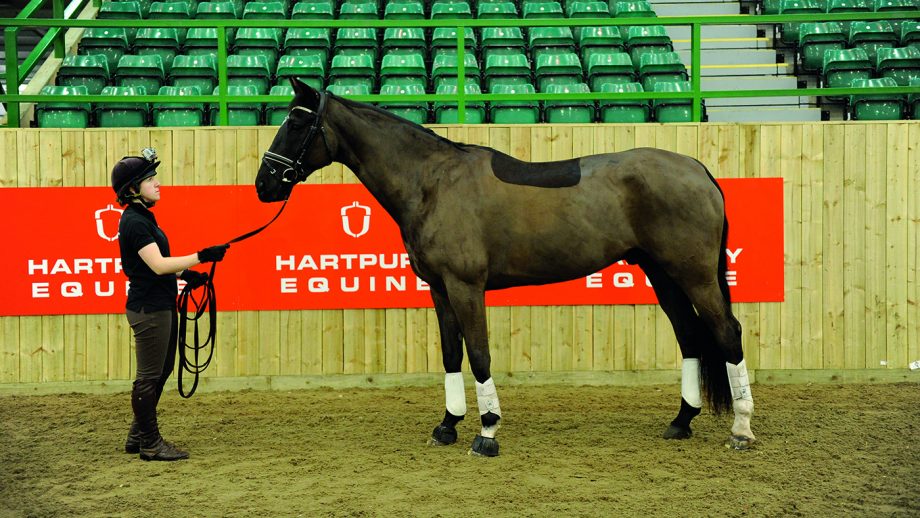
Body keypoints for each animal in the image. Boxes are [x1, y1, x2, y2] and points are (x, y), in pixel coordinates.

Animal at [255, 79, 756, 456]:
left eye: (296, 121)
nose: (264, 184)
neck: (432, 182)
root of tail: (697, 170)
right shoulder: (439, 289)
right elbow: (451, 354)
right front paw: (447, 426)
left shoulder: (465, 286)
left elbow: (479, 354)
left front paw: (487, 431)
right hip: (661, 273)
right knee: (689, 336)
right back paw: (681, 421)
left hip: (693, 274)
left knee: (727, 332)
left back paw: (741, 429)